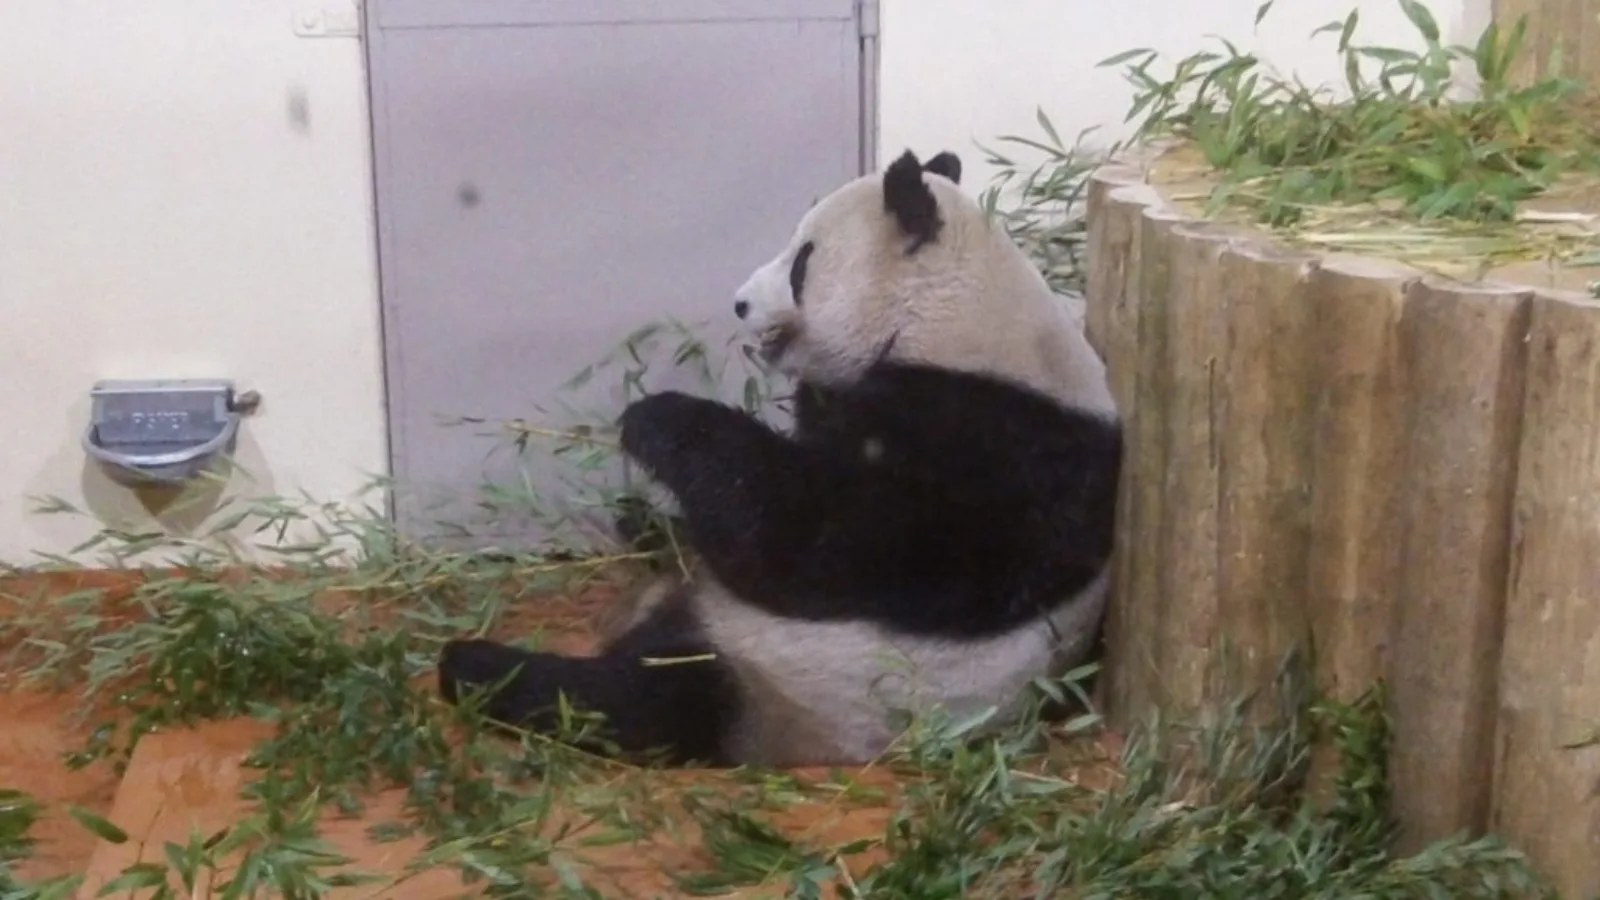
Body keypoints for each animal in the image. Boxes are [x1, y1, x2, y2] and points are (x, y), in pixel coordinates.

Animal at [436, 148, 1123, 768]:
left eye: (802, 263)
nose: (740, 303)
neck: (955, 317)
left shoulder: (994, 448)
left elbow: (810, 539)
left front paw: (655, 417)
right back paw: (642, 525)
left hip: (785, 681)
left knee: (640, 700)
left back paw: (476, 667)